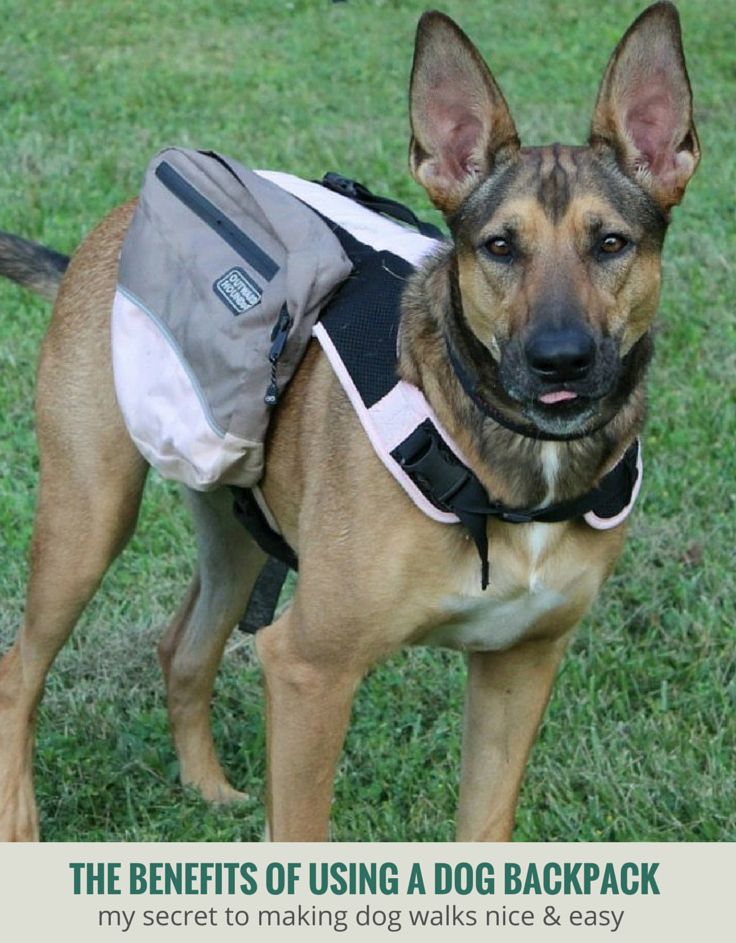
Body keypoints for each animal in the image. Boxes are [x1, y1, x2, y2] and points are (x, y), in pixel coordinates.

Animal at [0, 0, 700, 840]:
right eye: (499, 246)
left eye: (611, 243)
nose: (558, 360)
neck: (500, 461)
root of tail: (109, 232)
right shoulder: (308, 669)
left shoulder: (520, 663)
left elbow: (484, 828)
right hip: (88, 518)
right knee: (18, 672)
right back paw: (23, 824)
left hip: (238, 525)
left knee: (183, 650)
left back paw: (209, 789)